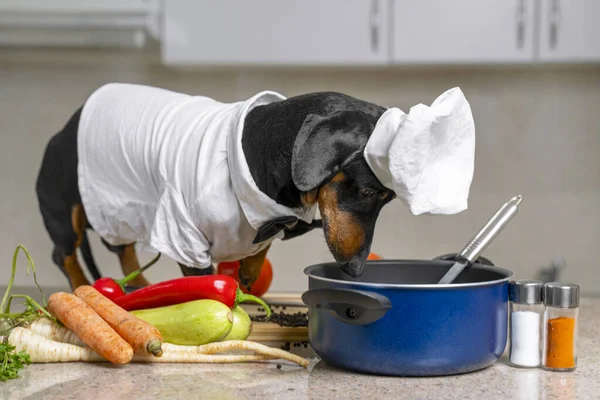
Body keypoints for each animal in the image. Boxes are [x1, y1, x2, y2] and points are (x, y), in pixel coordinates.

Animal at [35, 88, 396, 290]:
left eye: (389, 197)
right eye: (367, 192)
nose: (356, 270)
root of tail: (65, 128)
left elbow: (259, 248)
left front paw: (247, 276)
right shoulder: (185, 240)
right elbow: (204, 283)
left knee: (122, 249)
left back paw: (136, 285)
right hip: (65, 210)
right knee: (63, 252)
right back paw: (82, 290)